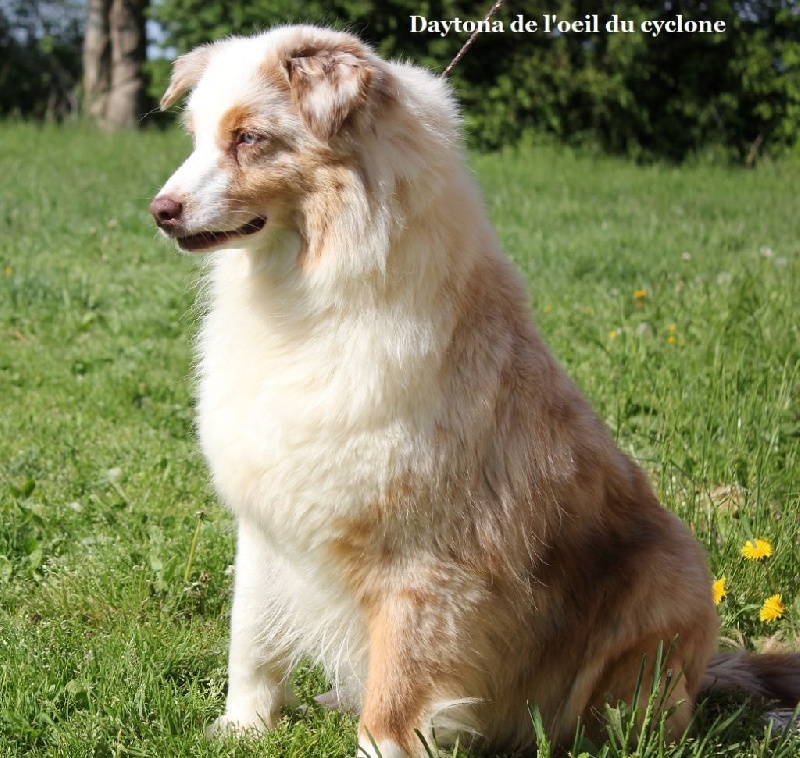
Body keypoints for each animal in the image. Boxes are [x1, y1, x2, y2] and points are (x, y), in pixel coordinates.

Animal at [150, 25, 800, 758]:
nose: (160, 212)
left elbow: (396, 698)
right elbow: (252, 638)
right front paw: (243, 729)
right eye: (197, 136)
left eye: (250, 138)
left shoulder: (425, 559)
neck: (307, 295)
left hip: (671, 579)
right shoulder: (268, 508)